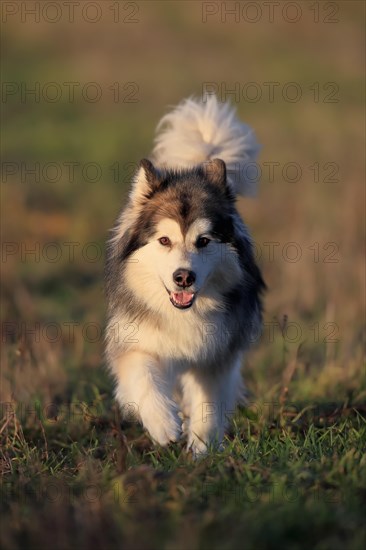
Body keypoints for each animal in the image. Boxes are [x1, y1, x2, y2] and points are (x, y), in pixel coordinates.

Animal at [104, 96, 264, 458]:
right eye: (164, 241)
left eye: (203, 241)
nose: (183, 277)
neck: (184, 314)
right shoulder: (134, 340)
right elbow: (144, 377)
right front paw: (164, 425)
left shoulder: (216, 354)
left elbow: (208, 404)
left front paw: (203, 449)